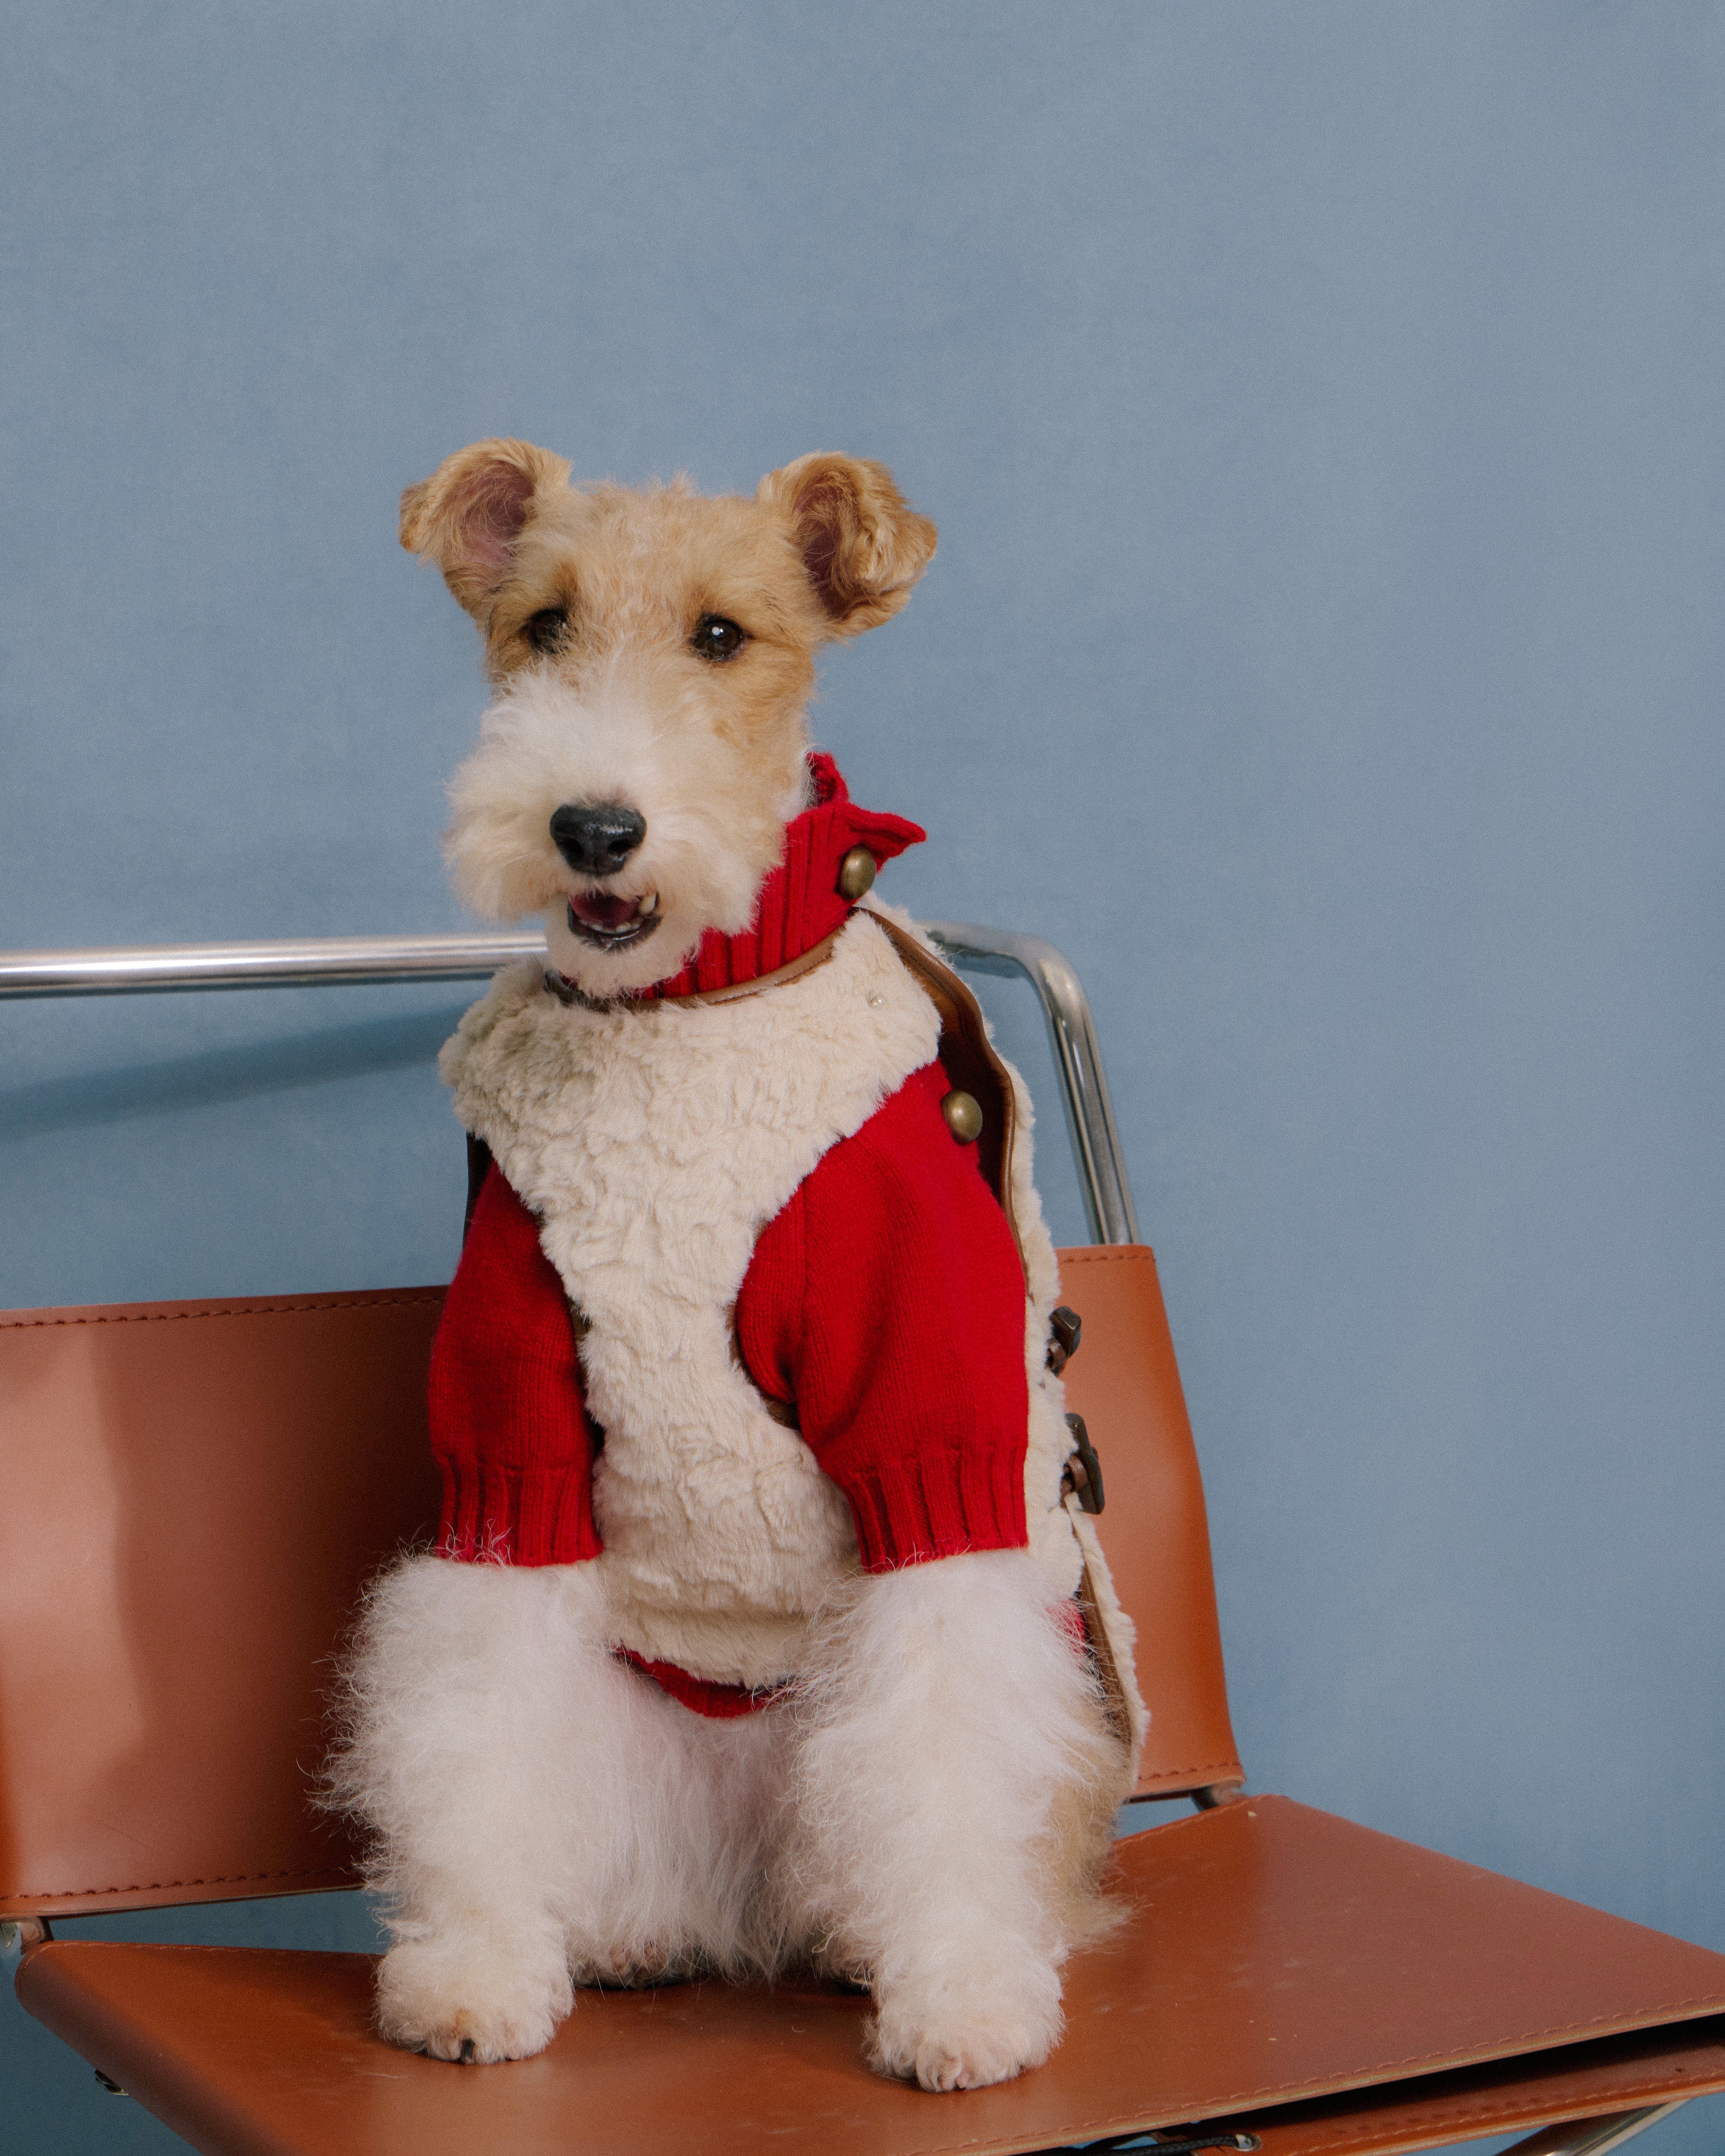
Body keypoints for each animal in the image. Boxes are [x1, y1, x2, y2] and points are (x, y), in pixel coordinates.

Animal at [332, 442, 1156, 2087]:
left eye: (723, 635)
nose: (594, 828)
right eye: (542, 623)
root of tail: (751, 1886)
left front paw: (962, 2001)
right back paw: (635, 1933)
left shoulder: (932, 1443)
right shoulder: (513, 1447)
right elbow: (476, 1717)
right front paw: (470, 1973)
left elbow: (949, 1730)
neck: (690, 1013)